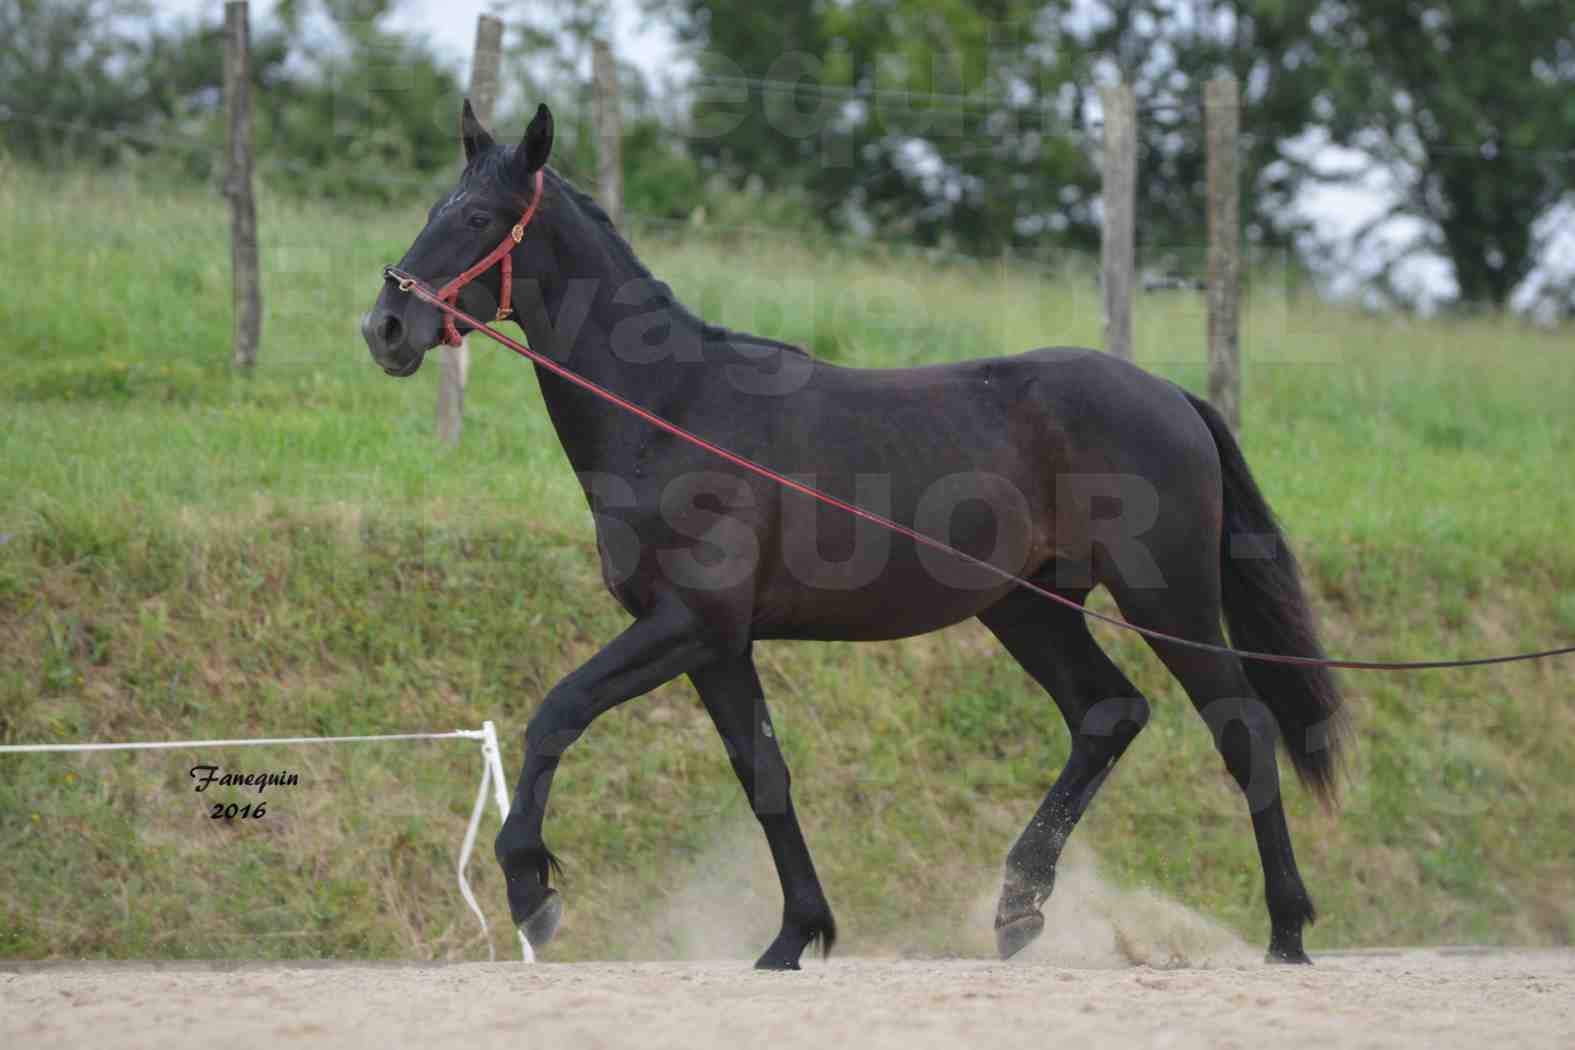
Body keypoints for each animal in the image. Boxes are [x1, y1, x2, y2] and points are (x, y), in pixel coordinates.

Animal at [362, 102, 1348, 976]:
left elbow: (555, 714)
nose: (385, 328)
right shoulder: (716, 645)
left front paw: (532, 891)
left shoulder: (688, 624)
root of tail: (1172, 394)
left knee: (1240, 728)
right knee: (1107, 714)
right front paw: (795, 935)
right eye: (433, 208)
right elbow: (764, 774)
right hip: (1028, 609)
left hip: (1164, 597)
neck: (672, 410)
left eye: (478, 217)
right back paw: (1017, 910)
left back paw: (1286, 929)